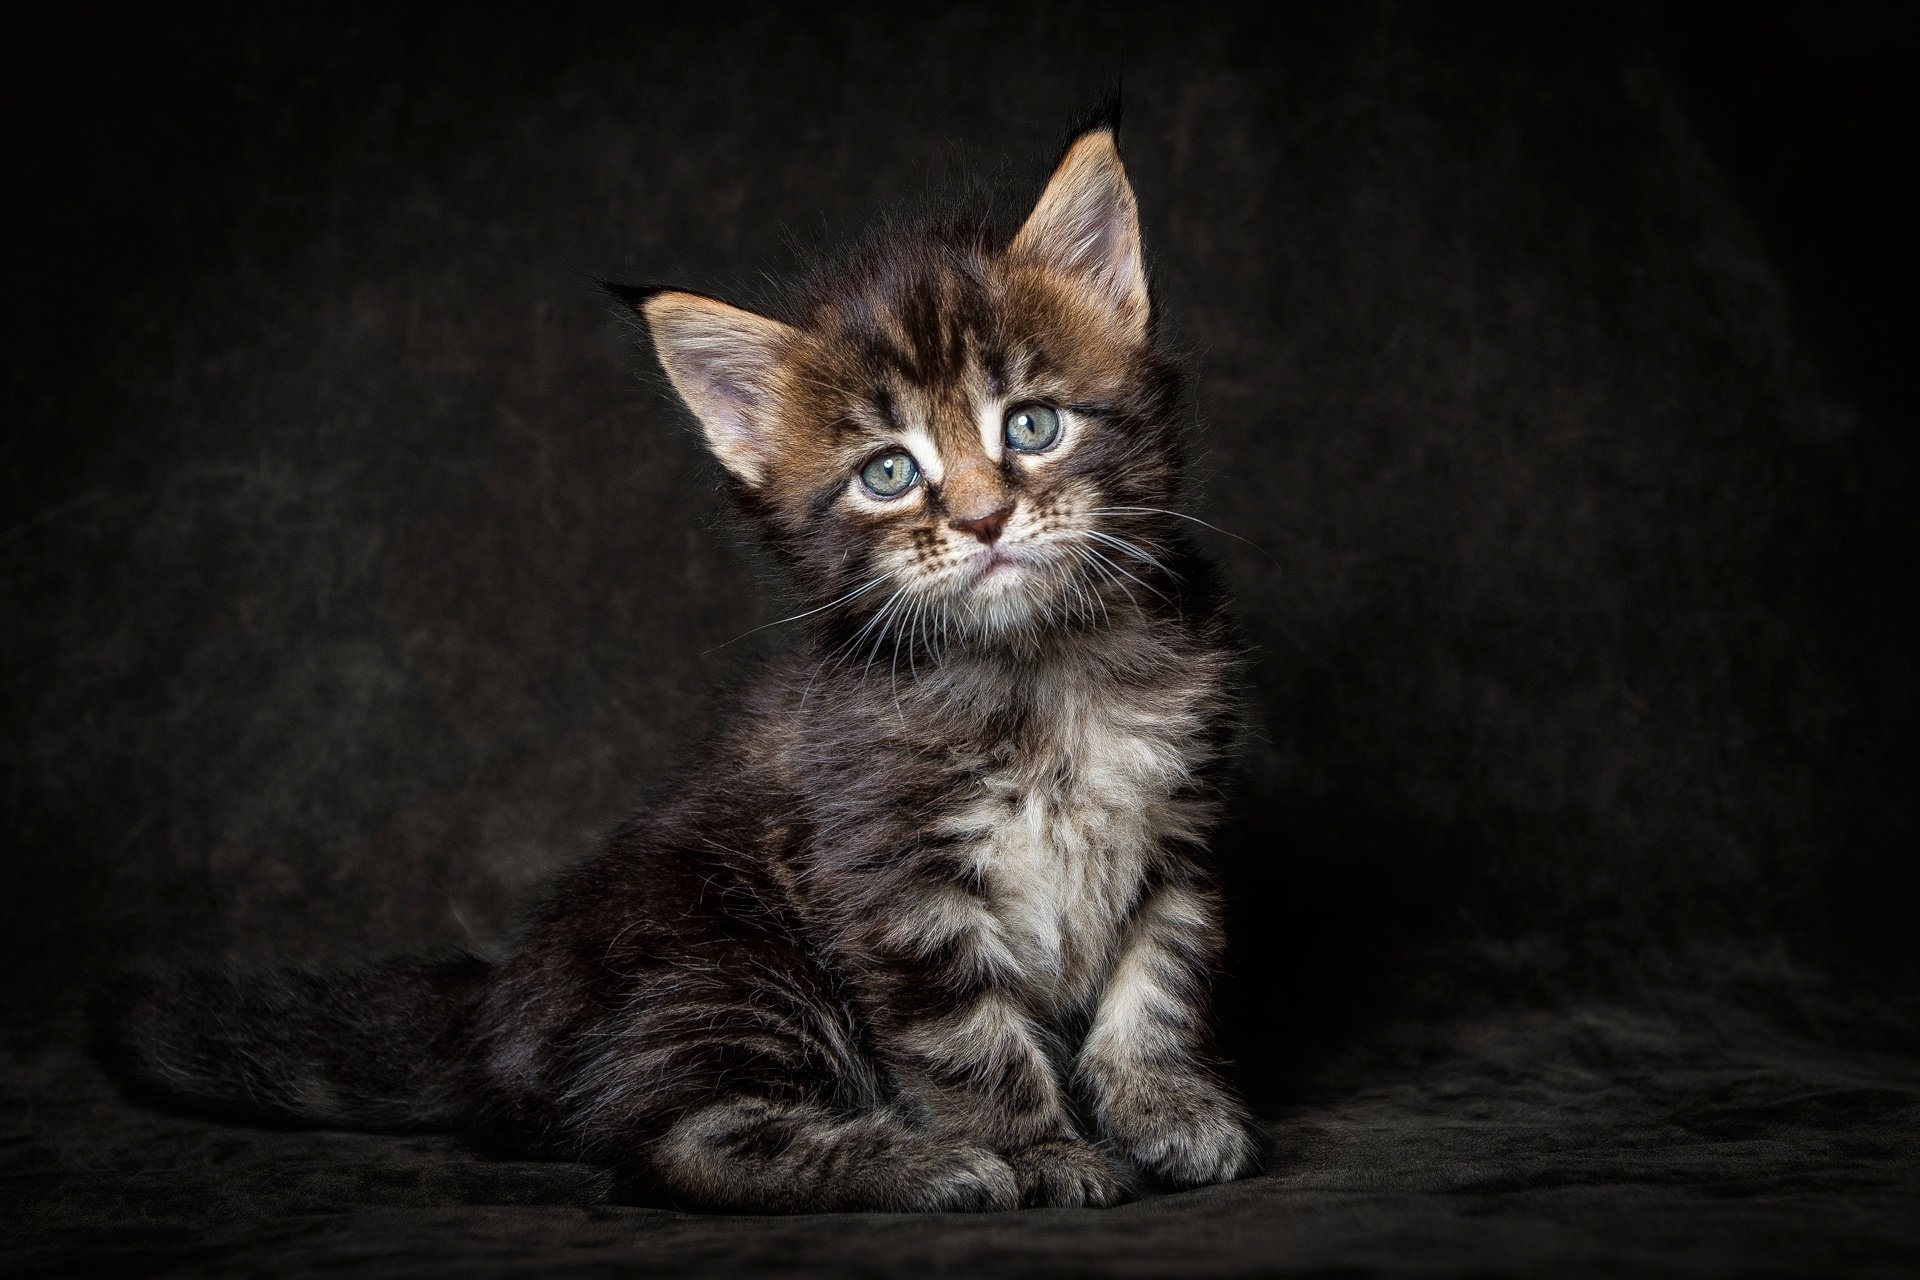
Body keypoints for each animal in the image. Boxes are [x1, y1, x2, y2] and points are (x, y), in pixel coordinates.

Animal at [112, 110, 1267, 1212]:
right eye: (888, 473)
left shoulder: (1179, 833)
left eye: (1031, 424)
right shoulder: (891, 885)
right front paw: (1036, 1150)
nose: (984, 520)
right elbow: (969, 1042)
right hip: (730, 959)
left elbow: (1157, 985)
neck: (1038, 668)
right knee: (675, 1148)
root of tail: (489, 1013)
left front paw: (1168, 1106)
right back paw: (922, 1165)